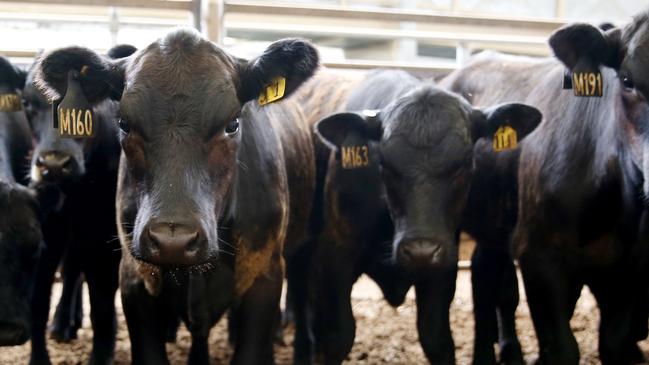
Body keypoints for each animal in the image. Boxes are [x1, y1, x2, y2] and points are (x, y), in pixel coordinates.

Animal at [312, 69, 540, 364]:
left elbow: (436, 338)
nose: (420, 251)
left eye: (464, 164)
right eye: (384, 163)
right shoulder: (335, 254)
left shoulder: (442, 267)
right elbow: (337, 337)